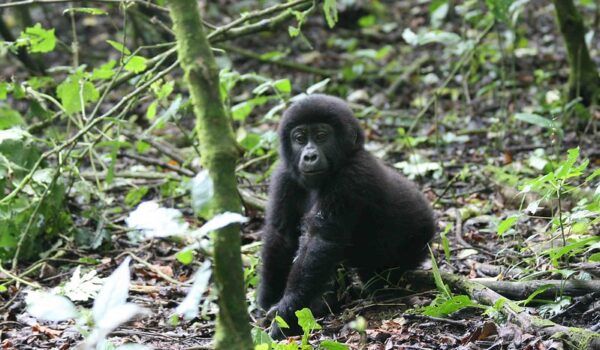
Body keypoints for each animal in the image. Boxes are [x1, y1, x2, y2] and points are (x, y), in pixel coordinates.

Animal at [256, 94, 432, 338]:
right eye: (299, 138)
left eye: (321, 136)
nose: (309, 156)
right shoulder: (284, 175)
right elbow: (281, 236)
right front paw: (268, 300)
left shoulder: (351, 177)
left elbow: (320, 240)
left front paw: (287, 311)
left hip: (418, 237)